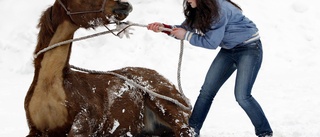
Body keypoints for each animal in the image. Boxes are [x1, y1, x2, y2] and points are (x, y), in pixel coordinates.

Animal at [24, 0, 192, 136]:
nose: (125, 5)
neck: (50, 87)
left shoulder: (85, 119)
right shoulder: (35, 129)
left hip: (163, 102)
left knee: (185, 129)